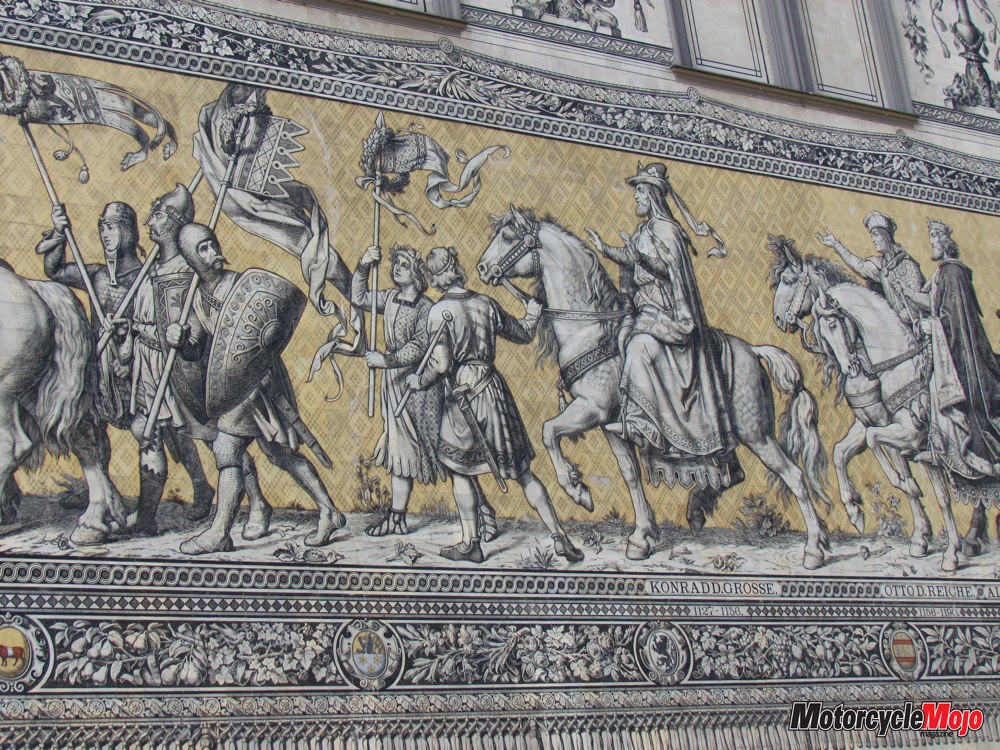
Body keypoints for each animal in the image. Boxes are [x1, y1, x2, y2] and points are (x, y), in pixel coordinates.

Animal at [0, 264, 127, 545]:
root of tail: (34, 287)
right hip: (34, 393)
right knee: (86, 441)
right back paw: (94, 522)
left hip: (5, 394)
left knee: (12, 446)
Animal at [477, 207, 834, 569]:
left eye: (507, 237)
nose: (482, 268)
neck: (591, 326)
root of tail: (755, 351)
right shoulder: (611, 426)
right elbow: (631, 475)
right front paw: (642, 536)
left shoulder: (591, 409)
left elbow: (549, 432)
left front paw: (579, 492)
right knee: (737, 473)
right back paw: (699, 505)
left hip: (756, 433)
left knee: (794, 475)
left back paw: (814, 549)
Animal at [769, 236, 967, 572]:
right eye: (823, 328)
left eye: (788, 280)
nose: (780, 320)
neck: (889, 360)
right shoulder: (869, 423)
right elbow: (840, 452)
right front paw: (856, 511)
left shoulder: (905, 430)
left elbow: (892, 461)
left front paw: (909, 503)